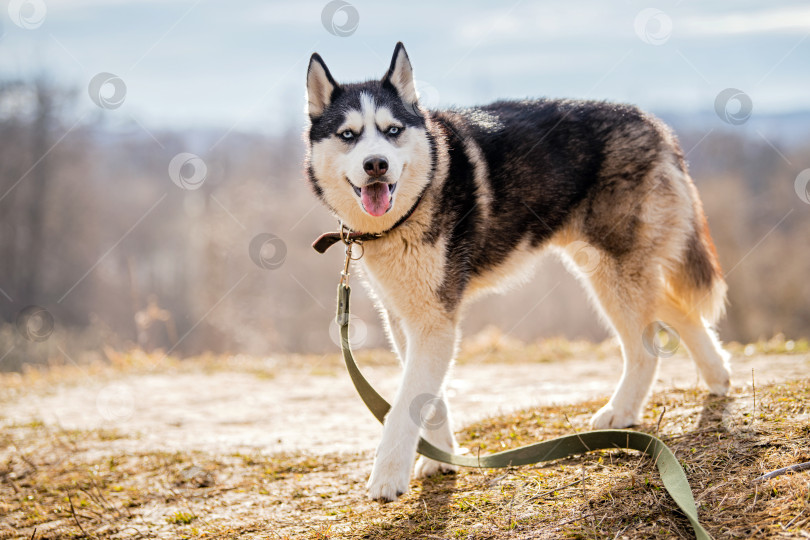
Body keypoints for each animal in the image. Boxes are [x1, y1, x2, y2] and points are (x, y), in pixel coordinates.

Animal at [304, 43, 732, 502]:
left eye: (392, 130)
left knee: (646, 347)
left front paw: (387, 477)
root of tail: (656, 125)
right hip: (607, 267)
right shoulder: (408, 319)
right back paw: (718, 376)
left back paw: (622, 410)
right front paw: (442, 459)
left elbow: (404, 404)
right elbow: (428, 396)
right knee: (677, 309)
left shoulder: (435, 320)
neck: (413, 205)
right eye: (348, 135)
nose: (376, 164)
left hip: (613, 273)